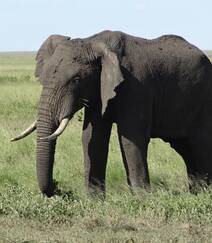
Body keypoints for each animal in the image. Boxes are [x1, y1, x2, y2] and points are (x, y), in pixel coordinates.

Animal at [11, 30, 212, 197]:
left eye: (76, 79)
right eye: (42, 79)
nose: (58, 188)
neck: (93, 42)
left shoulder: (136, 85)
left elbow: (131, 139)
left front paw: (142, 199)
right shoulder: (98, 90)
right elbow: (92, 138)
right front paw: (94, 200)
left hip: (203, 100)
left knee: (201, 144)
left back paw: (204, 194)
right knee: (186, 148)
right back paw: (196, 193)